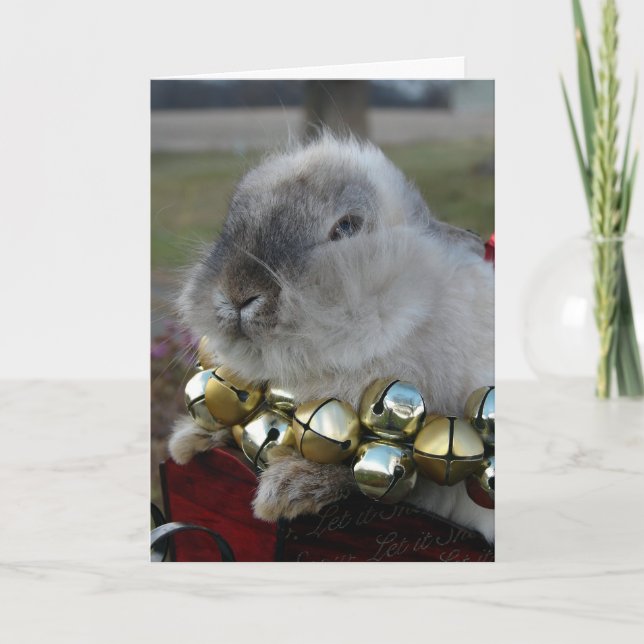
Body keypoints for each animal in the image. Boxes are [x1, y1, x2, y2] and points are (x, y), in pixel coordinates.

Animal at [168, 133, 494, 543]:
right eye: (232, 220)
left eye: (347, 228)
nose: (236, 293)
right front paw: (186, 442)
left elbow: (365, 476)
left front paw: (286, 491)